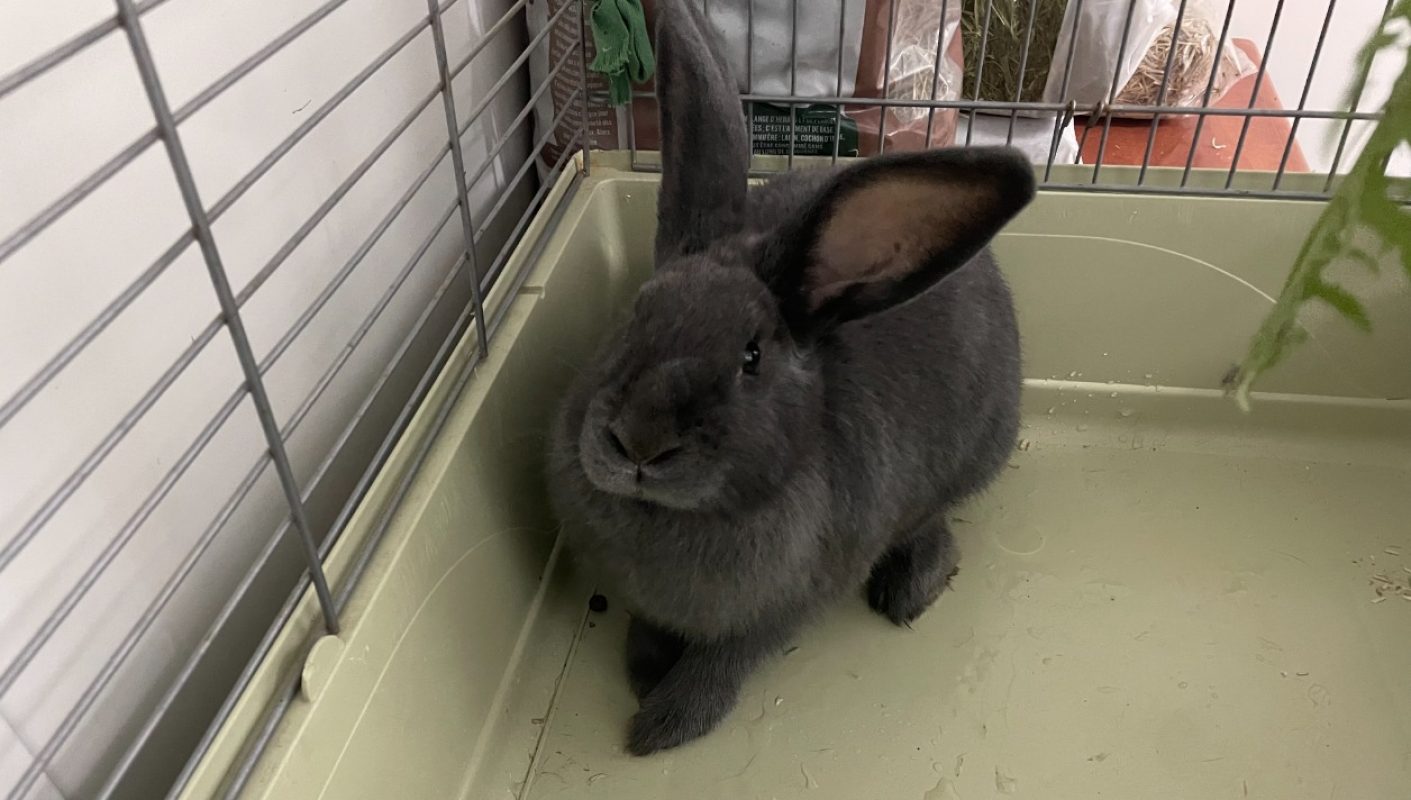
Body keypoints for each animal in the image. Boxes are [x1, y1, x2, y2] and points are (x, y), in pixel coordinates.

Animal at [546, 0, 1035, 757]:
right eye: (636, 313)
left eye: (751, 357)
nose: (639, 443)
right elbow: (650, 630)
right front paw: (644, 672)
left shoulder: (786, 605)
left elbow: (726, 659)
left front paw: (664, 723)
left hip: (971, 457)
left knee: (934, 521)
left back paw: (911, 588)